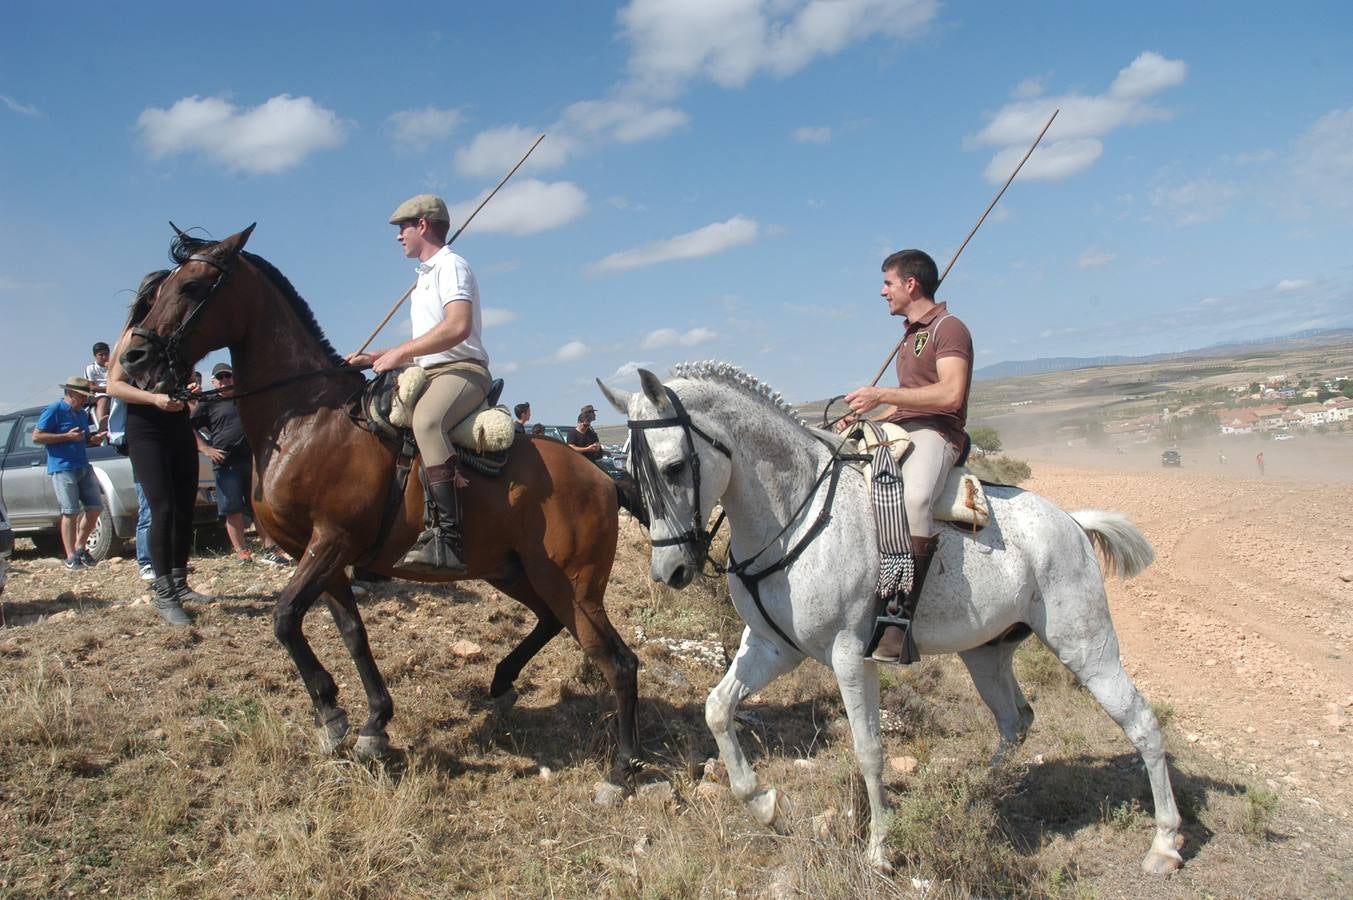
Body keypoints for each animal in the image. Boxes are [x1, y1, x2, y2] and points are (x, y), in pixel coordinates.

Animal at [116, 226, 638, 795]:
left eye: (191, 286)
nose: (133, 358)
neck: (307, 420)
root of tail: (602, 477)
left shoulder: (332, 540)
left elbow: (283, 618)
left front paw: (334, 715)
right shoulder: (316, 553)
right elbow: (350, 632)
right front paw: (367, 722)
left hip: (573, 585)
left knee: (618, 662)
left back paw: (620, 772)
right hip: (513, 570)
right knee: (549, 622)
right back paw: (502, 682)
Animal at [603, 362, 1185, 871]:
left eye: (675, 467)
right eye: (629, 472)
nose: (671, 570)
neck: (797, 512)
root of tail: (1071, 522)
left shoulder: (850, 656)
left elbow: (869, 749)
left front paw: (880, 848)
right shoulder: (773, 647)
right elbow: (718, 709)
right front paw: (764, 804)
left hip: (1087, 647)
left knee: (1141, 722)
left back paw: (1164, 844)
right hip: (987, 654)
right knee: (1015, 721)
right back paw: (982, 795)